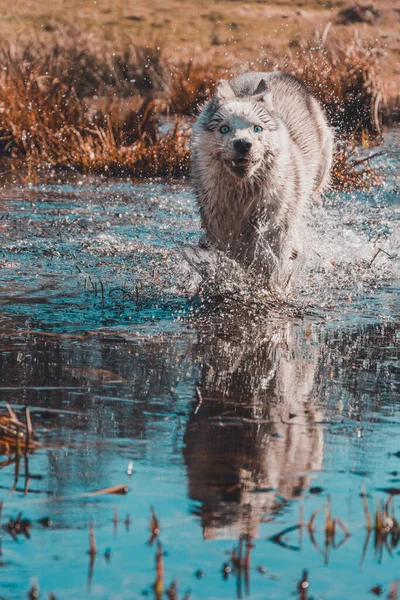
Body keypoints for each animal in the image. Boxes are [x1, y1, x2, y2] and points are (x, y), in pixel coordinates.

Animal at [192, 71, 332, 292]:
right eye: (224, 129)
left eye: (257, 128)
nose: (242, 144)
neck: (243, 192)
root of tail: (272, 73)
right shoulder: (221, 227)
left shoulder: (274, 225)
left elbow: (271, 262)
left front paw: (273, 288)